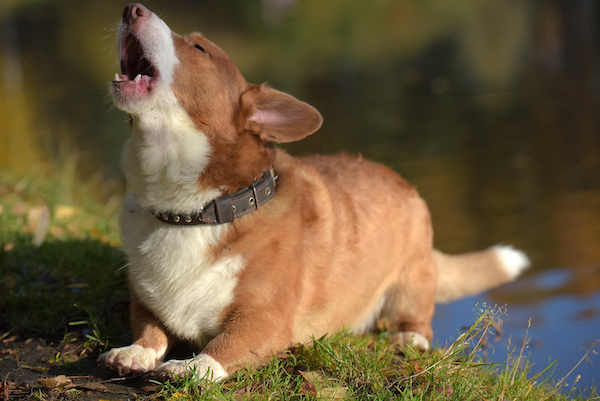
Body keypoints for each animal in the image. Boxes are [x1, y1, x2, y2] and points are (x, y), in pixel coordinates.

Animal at [98, 3, 528, 382]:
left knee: (418, 319)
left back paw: (410, 336)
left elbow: (222, 347)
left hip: (412, 280)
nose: (131, 8)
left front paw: (190, 368)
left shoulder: (265, 321)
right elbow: (150, 330)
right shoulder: (146, 303)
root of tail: (399, 180)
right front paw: (134, 352)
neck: (192, 212)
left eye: (199, 48)